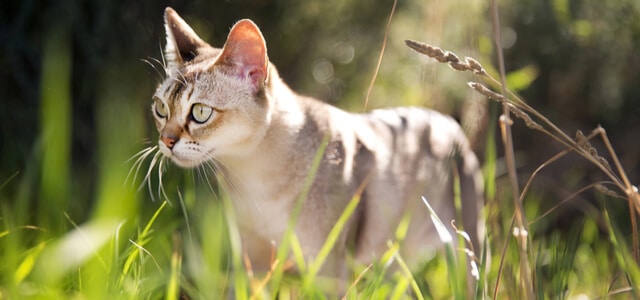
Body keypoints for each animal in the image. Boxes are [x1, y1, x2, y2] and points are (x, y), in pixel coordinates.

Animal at [150, 5, 482, 284]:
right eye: (160, 108)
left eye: (200, 113)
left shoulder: (327, 268)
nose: (166, 141)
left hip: (468, 250)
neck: (256, 180)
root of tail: (449, 122)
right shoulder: (252, 261)